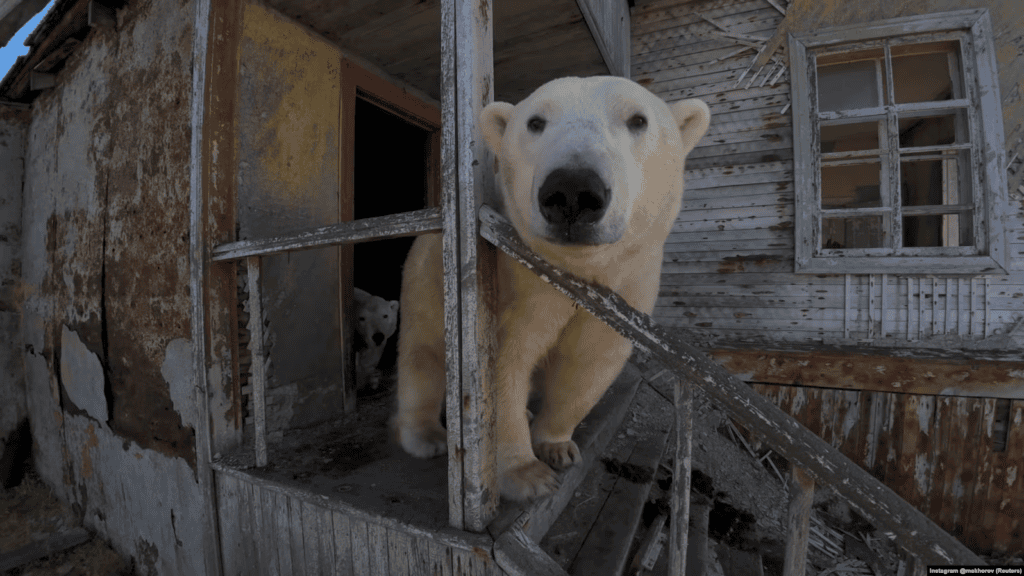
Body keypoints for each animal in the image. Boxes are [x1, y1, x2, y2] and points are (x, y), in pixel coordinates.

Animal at [393, 76, 710, 501]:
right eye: (535, 122)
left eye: (638, 119)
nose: (573, 190)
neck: (574, 270)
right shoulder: (516, 285)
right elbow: (502, 365)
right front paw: (528, 475)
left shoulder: (627, 285)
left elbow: (590, 362)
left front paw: (556, 447)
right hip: (424, 281)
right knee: (421, 356)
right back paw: (427, 436)